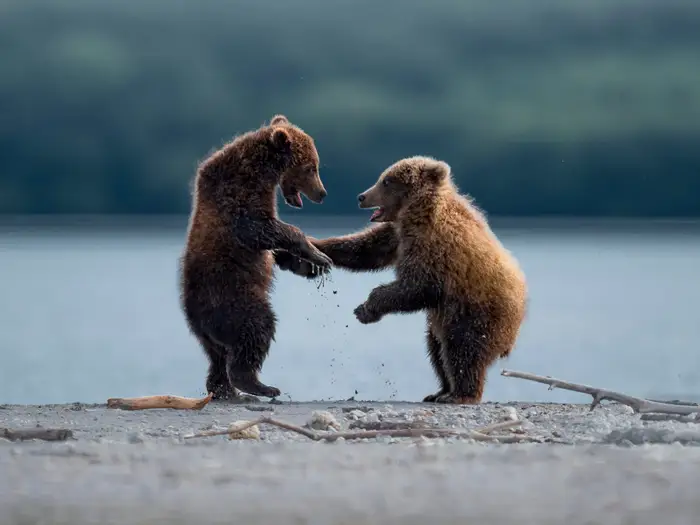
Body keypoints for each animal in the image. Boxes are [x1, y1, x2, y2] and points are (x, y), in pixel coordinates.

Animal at [179, 114, 333, 402]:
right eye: (311, 167)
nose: (322, 193)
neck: (261, 173)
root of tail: (197, 319)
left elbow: (274, 247)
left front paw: (309, 265)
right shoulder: (238, 200)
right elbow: (265, 229)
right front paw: (318, 255)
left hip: (208, 332)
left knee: (217, 358)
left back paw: (227, 390)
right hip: (234, 299)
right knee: (256, 329)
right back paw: (258, 385)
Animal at [281, 156, 527, 404]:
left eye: (386, 181)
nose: (362, 196)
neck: (416, 212)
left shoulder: (433, 246)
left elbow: (417, 286)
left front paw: (366, 309)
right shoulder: (397, 235)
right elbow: (365, 249)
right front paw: (307, 250)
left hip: (475, 313)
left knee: (462, 350)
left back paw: (460, 394)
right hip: (445, 318)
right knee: (436, 349)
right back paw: (440, 391)